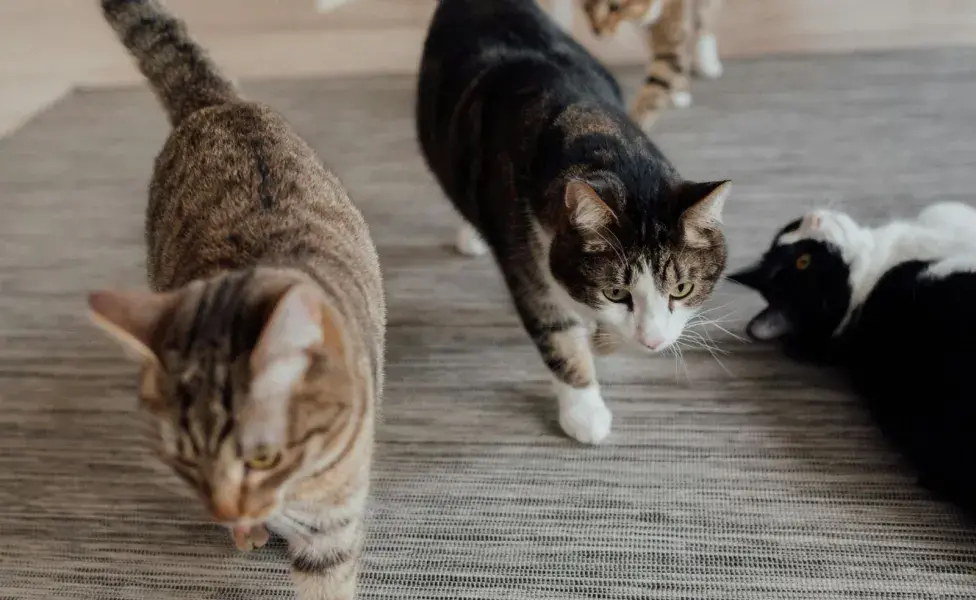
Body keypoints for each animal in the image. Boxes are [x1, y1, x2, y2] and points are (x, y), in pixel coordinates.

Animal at [86, 2, 386, 596]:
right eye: (186, 462)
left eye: (263, 455)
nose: (225, 512)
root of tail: (218, 104)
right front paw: (247, 529)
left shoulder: (333, 525)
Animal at [580, 0, 724, 131]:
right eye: (586, 8)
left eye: (614, 7)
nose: (596, 31)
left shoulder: (673, 32)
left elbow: (658, 82)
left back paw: (708, 65)